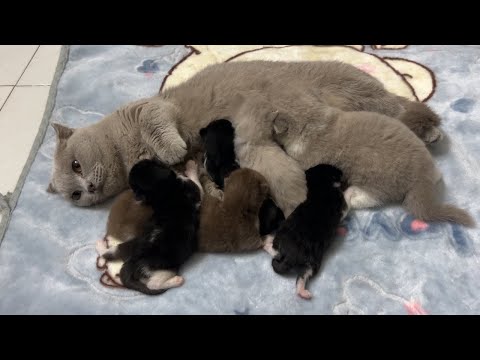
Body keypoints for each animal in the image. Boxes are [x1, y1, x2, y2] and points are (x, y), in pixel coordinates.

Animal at [47, 60, 440, 215]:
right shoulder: (204, 161)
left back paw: (432, 129)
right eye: (76, 195)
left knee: (402, 107)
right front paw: (217, 192)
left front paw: (171, 149)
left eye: (77, 164)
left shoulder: (152, 109)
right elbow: (204, 176)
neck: (124, 149)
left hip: (359, 92)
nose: (89, 189)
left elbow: (158, 125)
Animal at [264, 163, 346, 298]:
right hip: (310, 260)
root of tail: (291, 255)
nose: (342, 171)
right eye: (334, 168)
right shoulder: (341, 205)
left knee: (297, 273)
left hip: (301, 254)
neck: (320, 188)